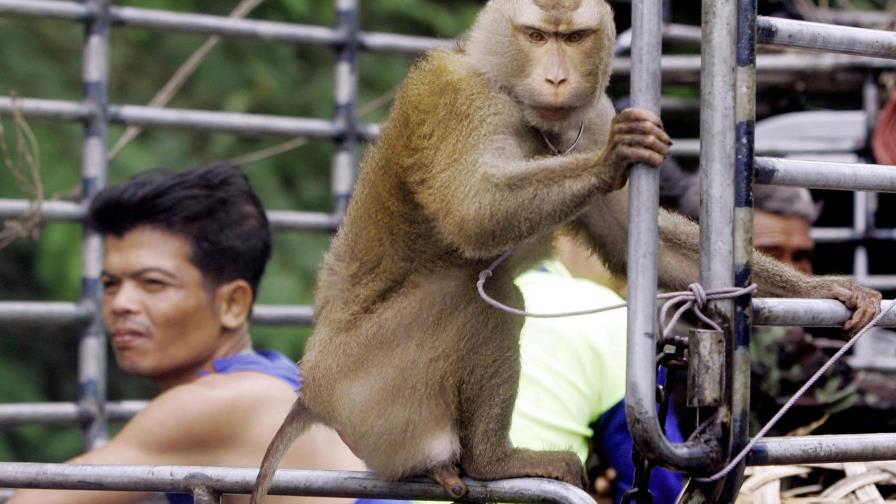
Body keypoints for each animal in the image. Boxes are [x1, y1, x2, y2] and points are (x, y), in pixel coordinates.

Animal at [251, 0, 882, 501]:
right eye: (536, 35)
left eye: (574, 37)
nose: (556, 79)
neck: (508, 91)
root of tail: (310, 391)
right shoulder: (456, 98)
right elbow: (472, 211)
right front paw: (612, 157)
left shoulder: (595, 111)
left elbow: (633, 239)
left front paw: (827, 290)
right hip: (369, 392)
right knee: (481, 295)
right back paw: (493, 462)